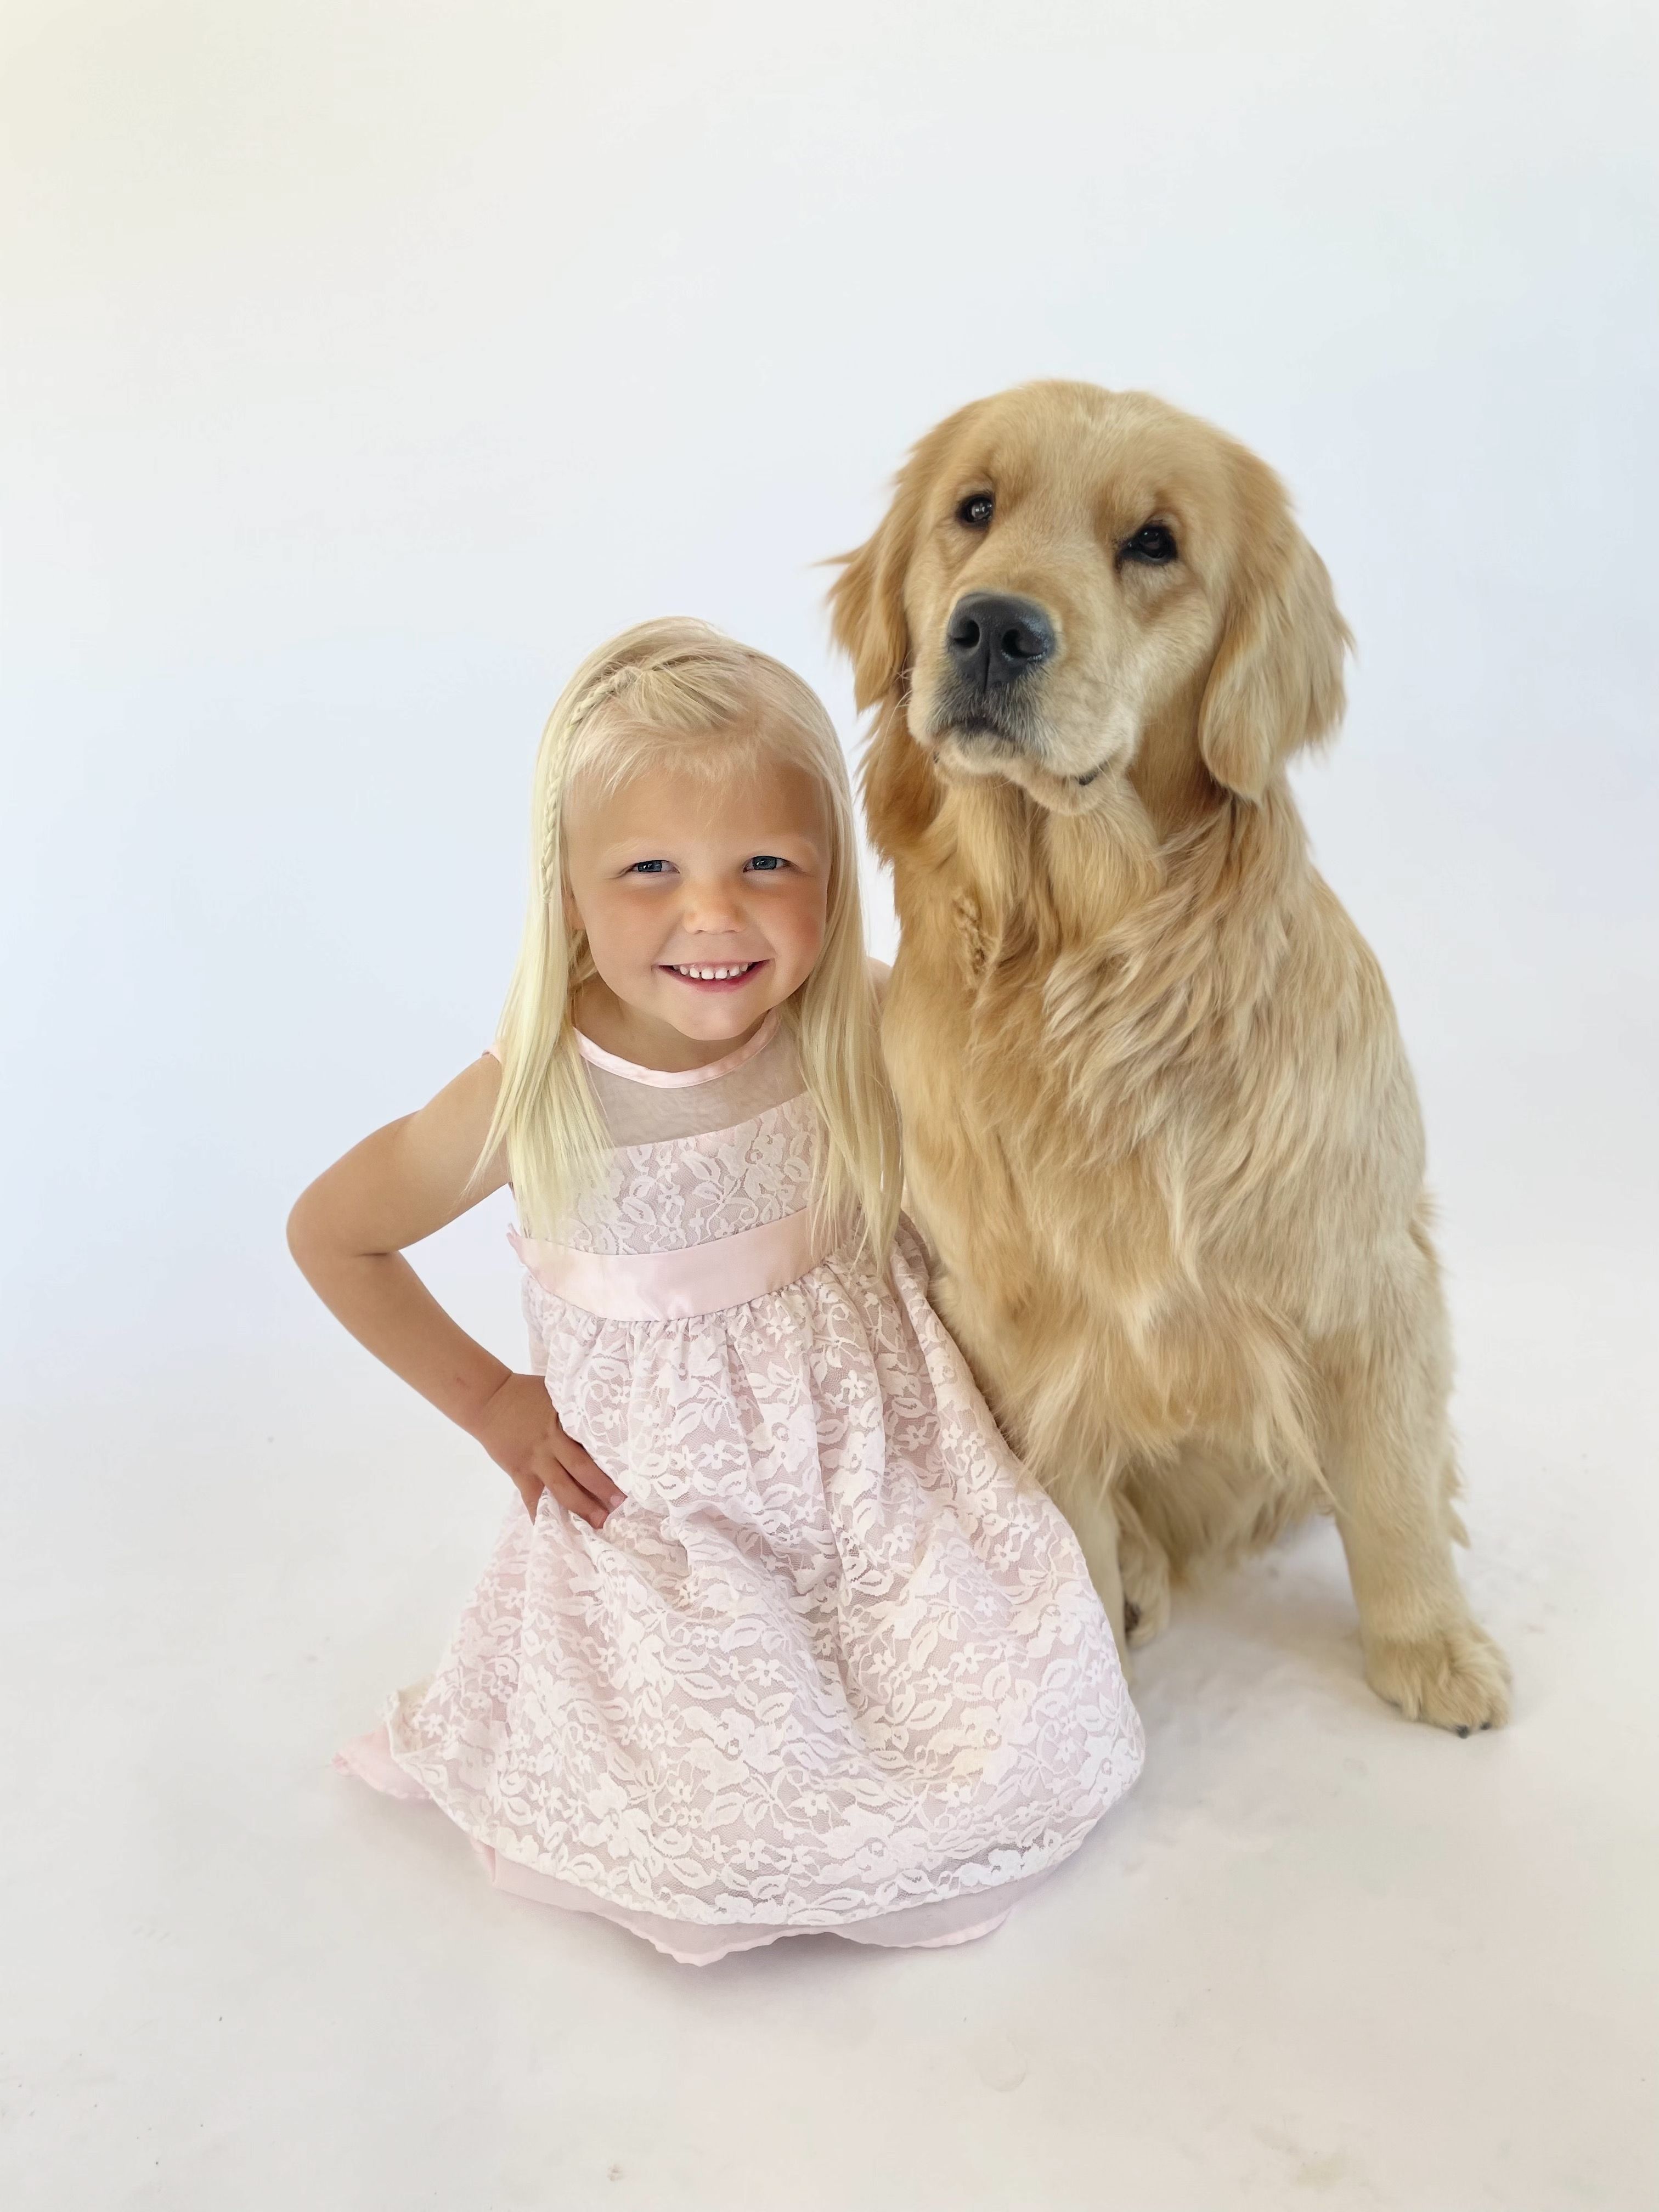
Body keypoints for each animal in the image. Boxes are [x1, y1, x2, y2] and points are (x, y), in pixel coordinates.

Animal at [830, 380, 1509, 1732]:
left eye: (1154, 544)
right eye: (972, 511)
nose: (991, 628)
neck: (1086, 974)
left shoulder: (1366, 1269)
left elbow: (1393, 1488)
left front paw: (1428, 1646)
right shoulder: (1014, 1331)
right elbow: (1071, 1526)